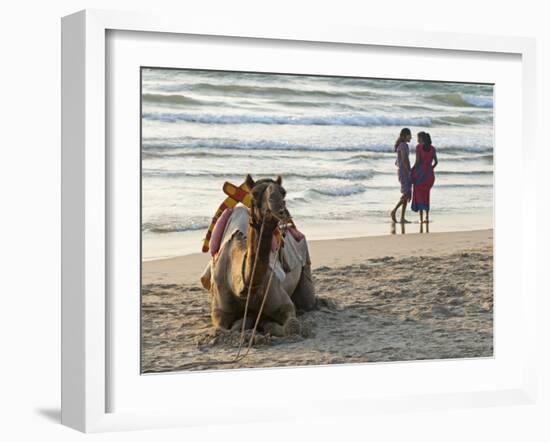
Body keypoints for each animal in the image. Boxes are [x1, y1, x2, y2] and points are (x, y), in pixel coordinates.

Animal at [201, 174, 316, 336]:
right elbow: (221, 330)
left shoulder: (282, 302)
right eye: (254, 193)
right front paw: (249, 322)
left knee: (308, 302)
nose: (279, 210)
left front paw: (265, 323)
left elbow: (292, 325)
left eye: (283, 192)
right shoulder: (220, 311)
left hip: (306, 264)